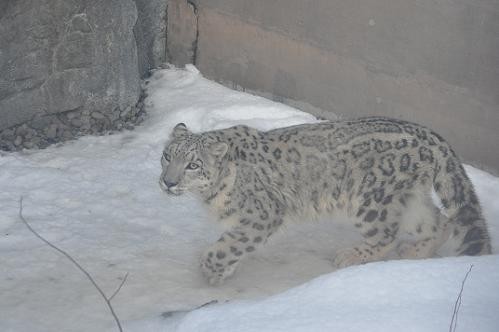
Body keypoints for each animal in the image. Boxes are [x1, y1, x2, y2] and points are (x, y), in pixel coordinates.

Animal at [160, 118, 492, 284]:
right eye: (167, 156)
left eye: (193, 165)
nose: (168, 181)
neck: (210, 195)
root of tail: (430, 135)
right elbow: (234, 244)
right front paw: (224, 270)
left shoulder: (262, 215)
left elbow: (231, 244)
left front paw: (212, 271)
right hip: (411, 199)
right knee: (438, 221)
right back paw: (414, 253)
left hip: (371, 201)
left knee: (386, 235)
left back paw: (350, 256)